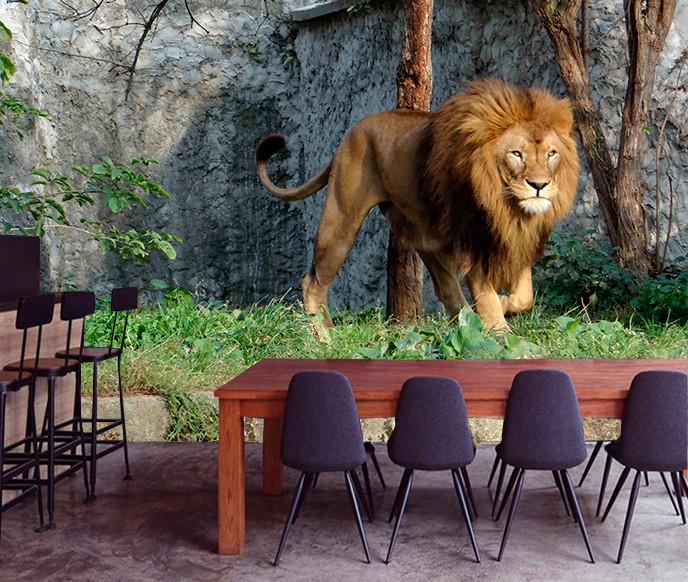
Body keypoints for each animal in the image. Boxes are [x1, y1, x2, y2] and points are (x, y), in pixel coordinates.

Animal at [256, 79, 579, 330]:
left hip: (425, 236)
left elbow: (525, 297)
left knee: (448, 293)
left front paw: (503, 308)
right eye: (516, 154)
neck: (505, 204)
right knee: (312, 282)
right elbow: (487, 298)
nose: (539, 186)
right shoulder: (471, 239)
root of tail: (350, 134)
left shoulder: (517, 238)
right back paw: (324, 338)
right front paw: (503, 337)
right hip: (342, 219)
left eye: (551, 154)